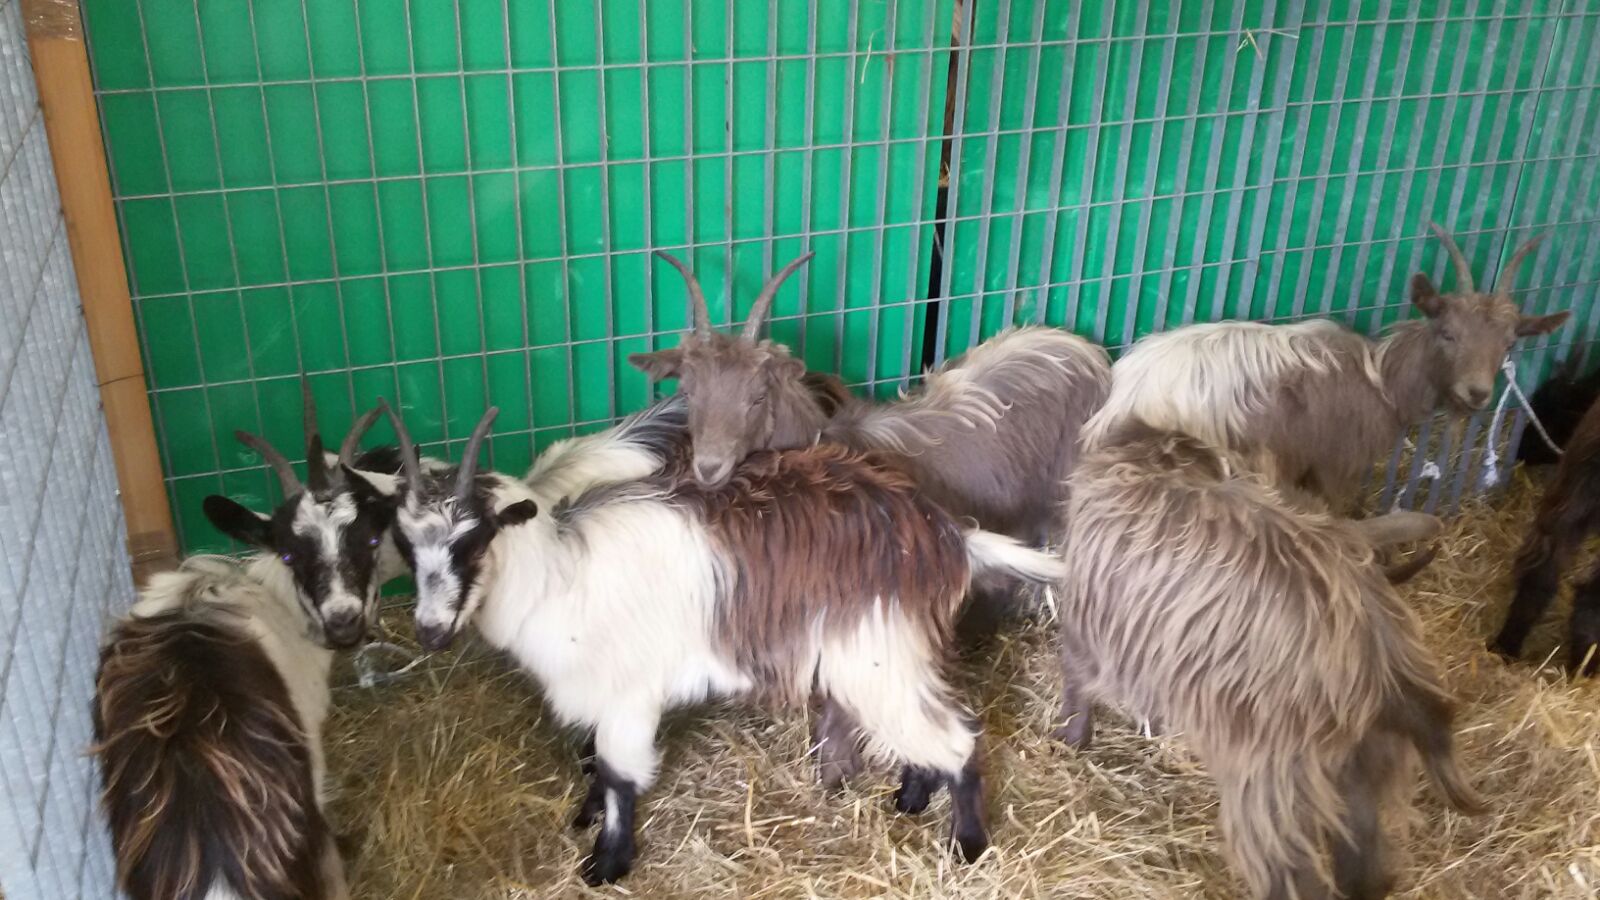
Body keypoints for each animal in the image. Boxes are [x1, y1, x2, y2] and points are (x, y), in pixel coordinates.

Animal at [384, 406, 1065, 885]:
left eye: (474, 539)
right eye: (405, 543)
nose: (430, 631)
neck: (558, 572)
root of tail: (944, 531)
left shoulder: (629, 697)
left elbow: (618, 773)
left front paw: (607, 864)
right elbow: (594, 764)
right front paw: (586, 818)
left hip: (876, 653)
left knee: (953, 737)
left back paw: (967, 845)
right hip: (893, 653)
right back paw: (912, 797)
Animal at [1057, 422, 1483, 900]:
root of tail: (1389, 674)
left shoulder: (1089, 625)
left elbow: (1075, 678)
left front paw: (1071, 736)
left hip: (1273, 782)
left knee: (1295, 878)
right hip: (1358, 767)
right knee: (1367, 869)